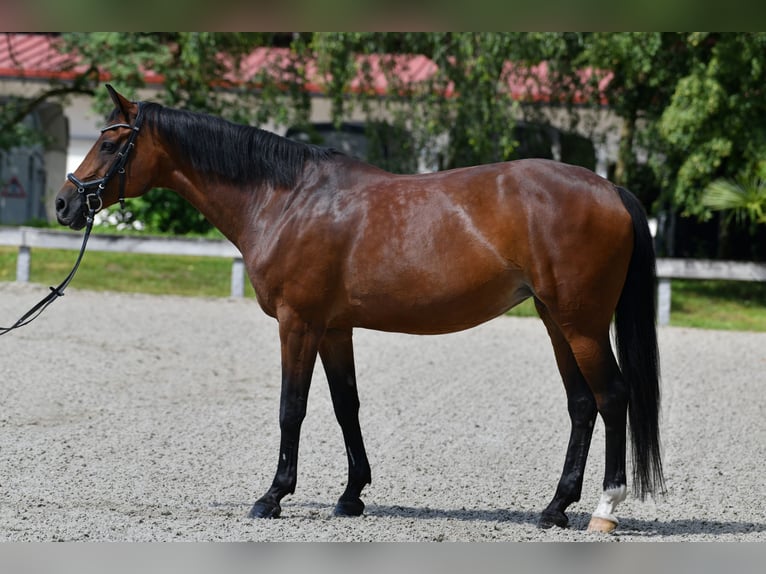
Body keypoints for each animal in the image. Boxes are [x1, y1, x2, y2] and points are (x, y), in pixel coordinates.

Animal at [55, 85, 664, 536]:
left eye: (111, 144)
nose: (64, 204)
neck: (287, 200)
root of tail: (610, 188)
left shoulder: (298, 324)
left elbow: (292, 409)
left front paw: (273, 496)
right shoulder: (333, 328)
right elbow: (346, 406)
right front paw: (351, 496)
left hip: (582, 324)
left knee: (612, 398)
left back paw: (604, 510)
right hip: (555, 321)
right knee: (582, 405)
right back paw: (554, 508)